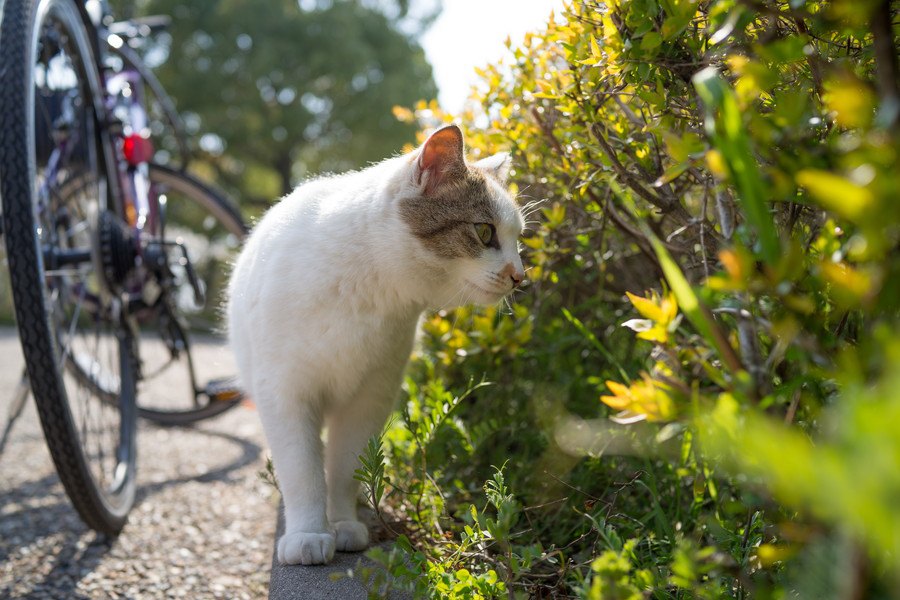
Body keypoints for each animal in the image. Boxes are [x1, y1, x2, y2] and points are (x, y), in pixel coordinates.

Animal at [227, 124, 528, 564]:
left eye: (518, 240)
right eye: (485, 231)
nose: (519, 276)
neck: (369, 287)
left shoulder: (369, 398)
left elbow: (344, 468)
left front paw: (342, 524)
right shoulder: (285, 392)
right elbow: (302, 471)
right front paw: (309, 533)